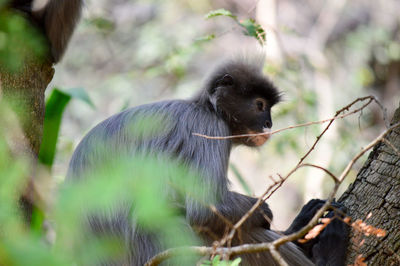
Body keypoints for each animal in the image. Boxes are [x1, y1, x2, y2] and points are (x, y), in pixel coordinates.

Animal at [66, 57, 346, 264]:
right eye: (259, 105)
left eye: (269, 109)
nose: (269, 123)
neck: (206, 108)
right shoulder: (209, 127)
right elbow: (206, 209)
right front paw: (266, 212)